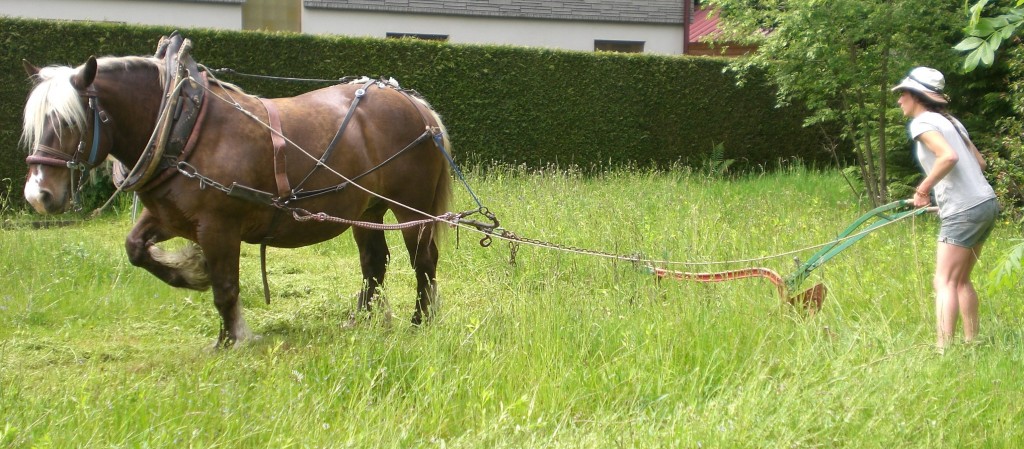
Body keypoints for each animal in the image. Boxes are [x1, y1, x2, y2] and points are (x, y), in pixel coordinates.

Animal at [18, 33, 452, 346]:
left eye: (68, 122)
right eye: (35, 125)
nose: (38, 196)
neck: (183, 124)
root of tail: (415, 105)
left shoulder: (218, 225)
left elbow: (226, 287)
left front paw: (231, 339)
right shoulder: (170, 217)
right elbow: (135, 248)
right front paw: (191, 272)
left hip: (411, 208)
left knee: (423, 261)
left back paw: (421, 321)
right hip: (367, 210)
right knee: (375, 263)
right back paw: (358, 319)